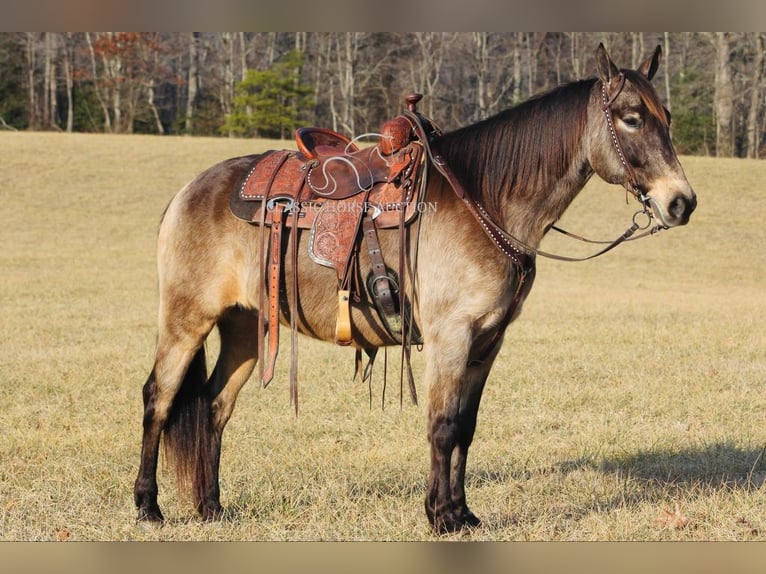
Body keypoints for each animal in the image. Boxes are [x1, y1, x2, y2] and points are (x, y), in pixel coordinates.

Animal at [135, 45, 700, 536]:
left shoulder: (487, 342)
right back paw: (148, 507)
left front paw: (464, 512)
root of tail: (190, 190)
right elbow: (442, 425)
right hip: (186, 320)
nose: (681, 203)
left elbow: (466, 426)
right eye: (631, 117)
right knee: (159, 398)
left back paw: (211, 507)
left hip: (243, 329)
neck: (486, 200)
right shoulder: (451, 336)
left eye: (667, 117)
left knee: (214, 408)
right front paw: (440, 516)